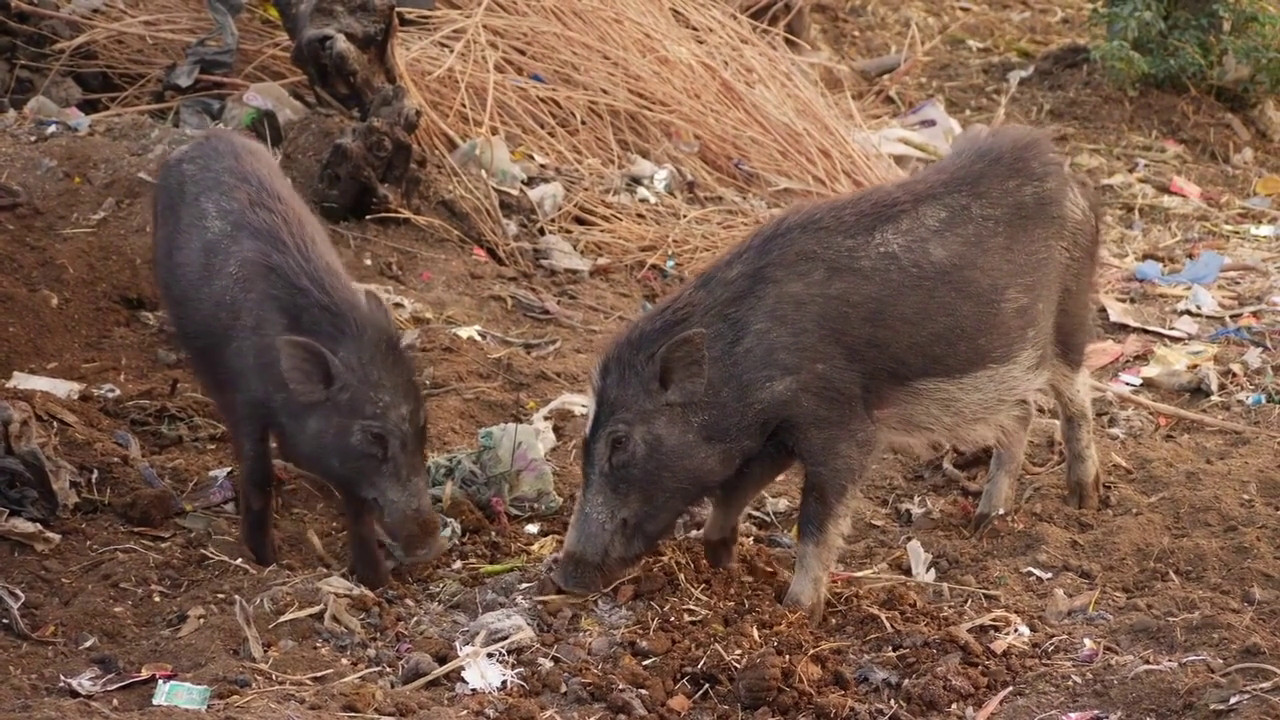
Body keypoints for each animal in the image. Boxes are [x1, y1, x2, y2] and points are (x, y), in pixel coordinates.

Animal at [151, 127, 445, 589]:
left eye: (422, 426)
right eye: (374, 437)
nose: (433, 547)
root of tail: (203, 139)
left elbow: (359, 508)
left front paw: (376, 582)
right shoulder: (246, 403)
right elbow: (258, 476)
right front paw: (264, 560)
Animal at [555, 124, 1105, 622]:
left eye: (620, 441)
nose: (562, 578)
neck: (745, 367)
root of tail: (1069, 174)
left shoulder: (839, 425)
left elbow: (817, 520)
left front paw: (797, 613)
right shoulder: (775, 434)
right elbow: (737, 485)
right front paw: (720, 560)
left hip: (1070, 317)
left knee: (1075, 395)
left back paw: (1084, 500)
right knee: (1021, 412)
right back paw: (986, 524)